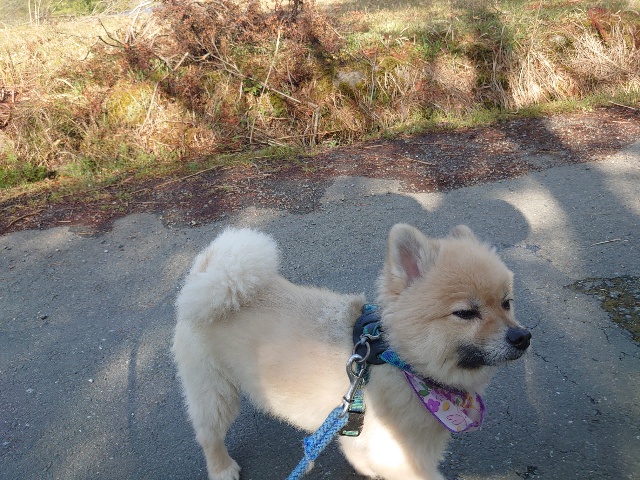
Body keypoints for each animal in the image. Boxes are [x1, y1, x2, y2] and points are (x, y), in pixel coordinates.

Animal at [173, 224, 531, 480]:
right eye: (465, 313)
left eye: (506, 303)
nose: (522, 337)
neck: (401, 363)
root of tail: (207, 277)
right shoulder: (403, 456)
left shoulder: (362, 438)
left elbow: (361, 456)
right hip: (214, 391)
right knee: (208, 434)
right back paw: (222, 469)